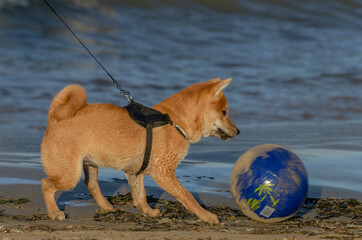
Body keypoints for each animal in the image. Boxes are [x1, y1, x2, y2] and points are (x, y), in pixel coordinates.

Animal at [41, 78, 240, 224]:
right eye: (224, 112)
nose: (238, 131)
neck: (175, 121)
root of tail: (54, 117)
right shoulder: (163, 172)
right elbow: (187, 196)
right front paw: (207, 216)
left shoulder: (135, 172)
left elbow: (140, 195)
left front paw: (148, 212)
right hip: (69, 174)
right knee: (46, 184)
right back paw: (54, 212)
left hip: (90, 164)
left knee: (91, 184)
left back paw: (106, 206)